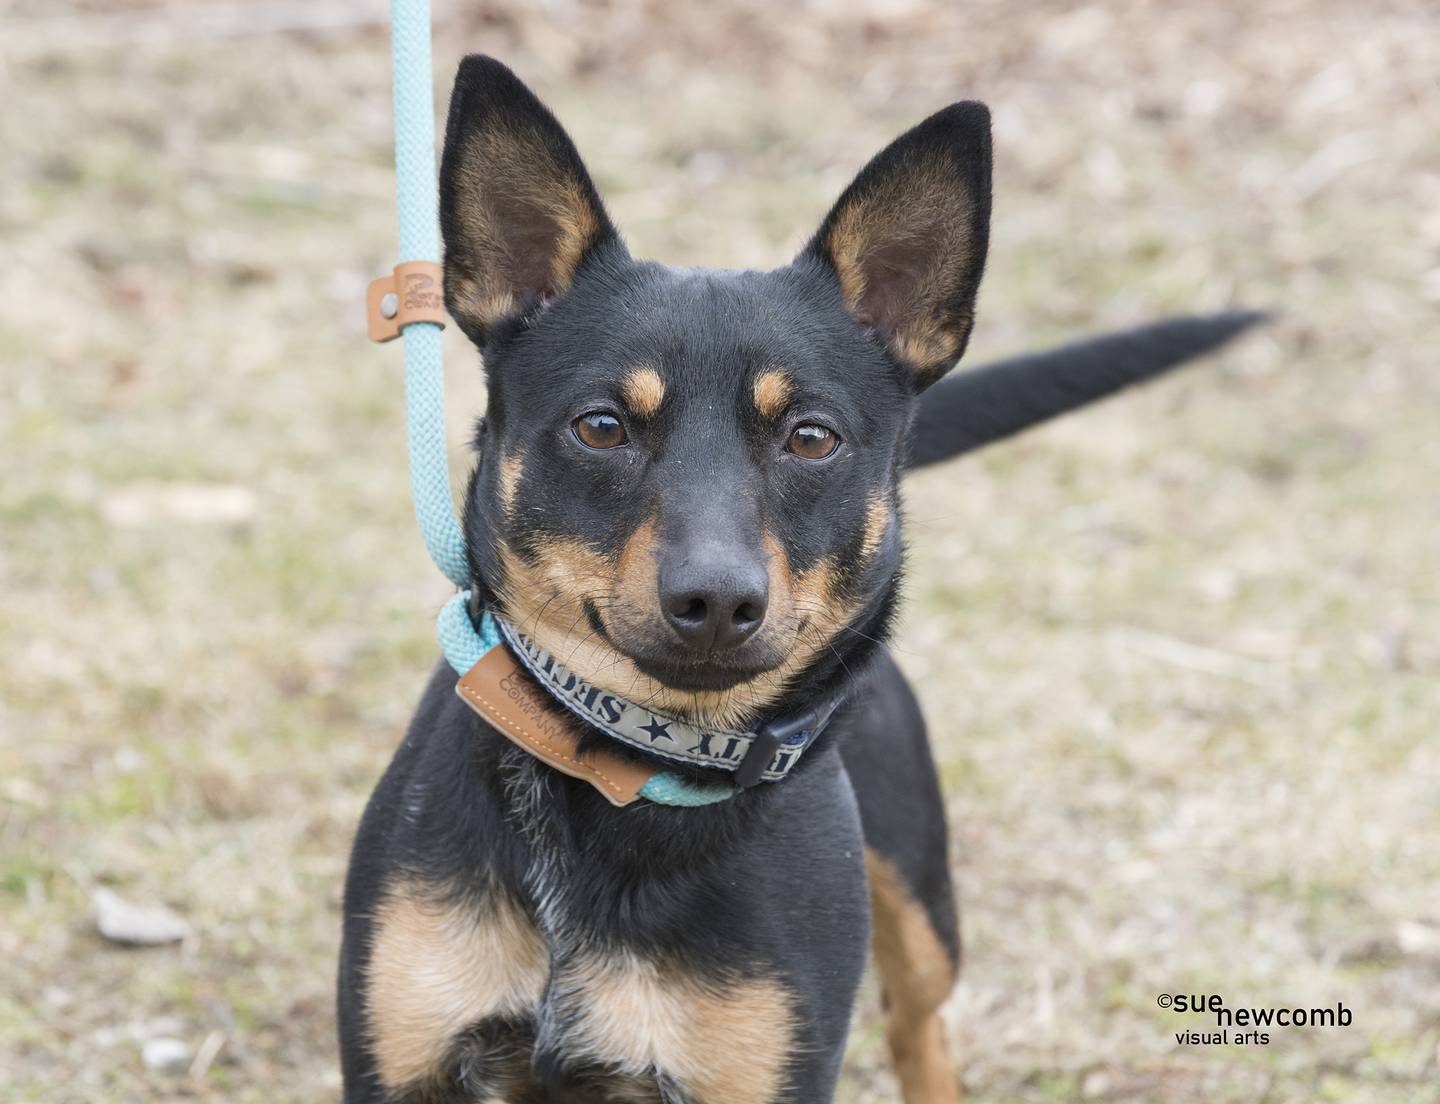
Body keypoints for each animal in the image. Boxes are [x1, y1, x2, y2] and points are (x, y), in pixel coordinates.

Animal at [339, 53, 1261, 1104]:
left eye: (811, 438)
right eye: (602, 426)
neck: (627, 775)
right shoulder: (402, 1058)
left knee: (920, 1026)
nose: (716, 600)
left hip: (921, 901)